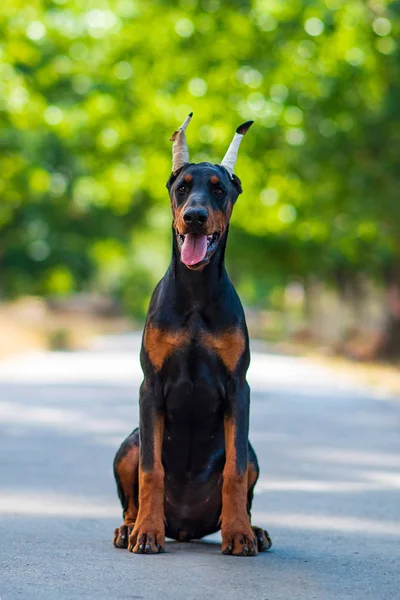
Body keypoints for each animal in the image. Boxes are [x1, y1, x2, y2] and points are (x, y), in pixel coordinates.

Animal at [114, 115, 274, 556]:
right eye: (182, 187)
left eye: (219, 189)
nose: (196, 216)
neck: (196, 291)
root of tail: (185, 528)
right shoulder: (150, 386)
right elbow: (151, 470)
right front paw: (147, 534)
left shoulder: (238, 387)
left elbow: (234, 471)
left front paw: (239, 535)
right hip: (129, 441)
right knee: (131, 493)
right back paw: (130, 528)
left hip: (254, 452)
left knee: (243, 473)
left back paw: (254, 530)